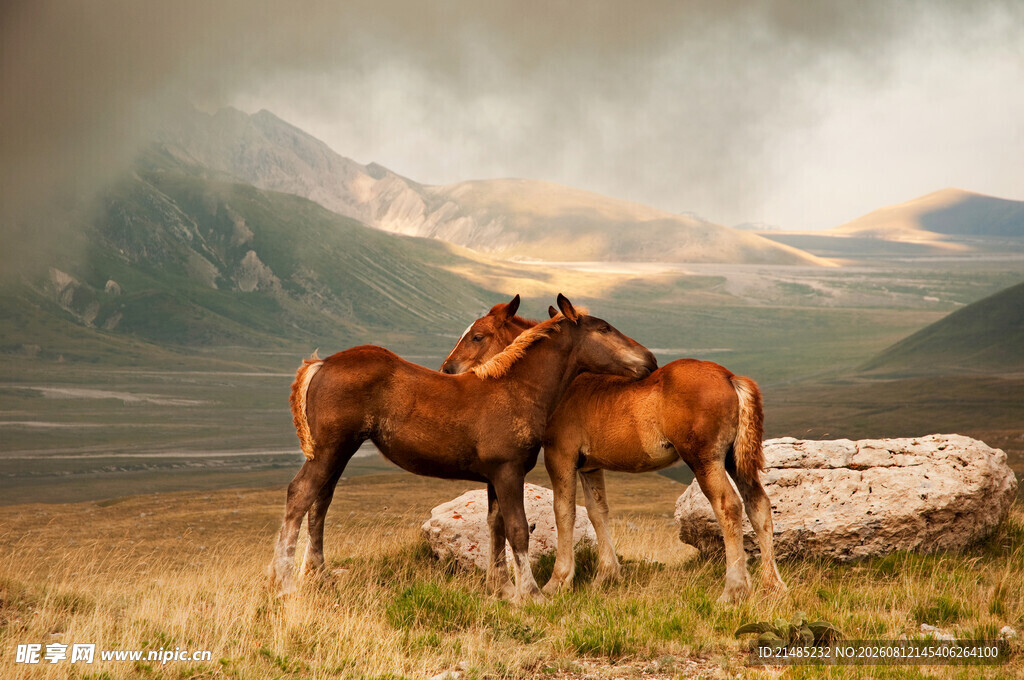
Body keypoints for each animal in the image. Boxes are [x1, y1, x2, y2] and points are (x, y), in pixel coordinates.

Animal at [269, 294, 658, 603]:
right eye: (604, 328)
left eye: (478, 335)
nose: (650, 359)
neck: (516, 388)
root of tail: (321, 363)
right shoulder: (508, 471)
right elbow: (517, 529)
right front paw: (530, 594)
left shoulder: (494, 476)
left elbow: (495, 525)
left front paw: (502, 590)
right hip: (329, 450)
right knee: (300, 494)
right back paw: (285, 582)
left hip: (339, 452)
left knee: (321, 501)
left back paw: (317, 575)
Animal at [440, 296, 786, 603]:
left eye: (477, 336)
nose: (447, 369)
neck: (565, 385)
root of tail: (730, 377)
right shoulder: (591, 465)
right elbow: (598, 512)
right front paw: (606, 576)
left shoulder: (560, 456)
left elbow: (564, 512)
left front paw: (558, 581)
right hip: (734, 460)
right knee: (758, 505)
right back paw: (773, 586)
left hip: (705, 460)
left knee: (729, 506)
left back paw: (734, 590)